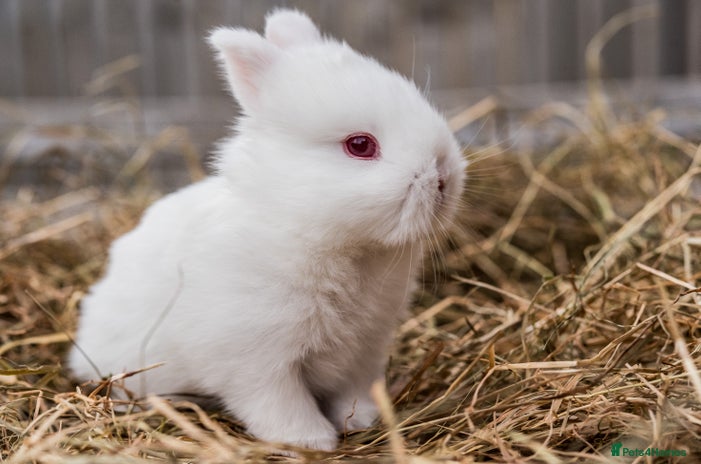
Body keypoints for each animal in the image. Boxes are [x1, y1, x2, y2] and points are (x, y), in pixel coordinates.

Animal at [69, 8, 466, 452]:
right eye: (360, 145)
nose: (445, 177)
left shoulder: (364, 351)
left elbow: (353, 391)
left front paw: (363, 420)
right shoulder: (256, 357)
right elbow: (279, 402)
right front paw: (310, 441)